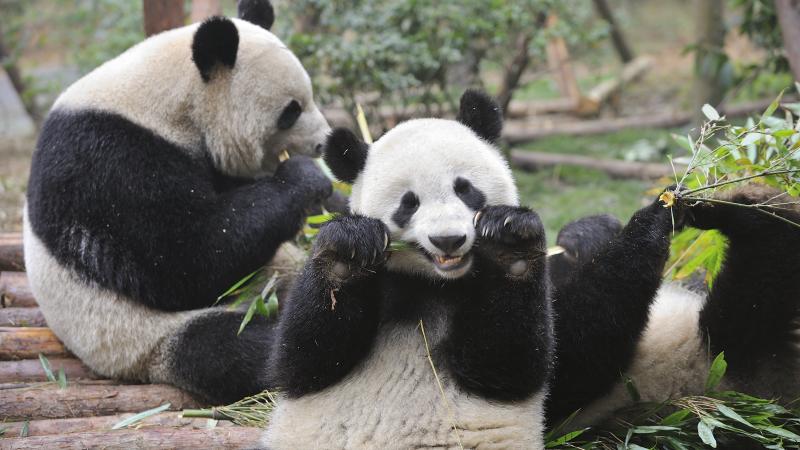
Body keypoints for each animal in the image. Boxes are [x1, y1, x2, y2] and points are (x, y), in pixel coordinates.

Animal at [23, 0, 333, 405]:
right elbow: (186, 259)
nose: (323, 141)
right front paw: (305, 179)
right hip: (142, 339)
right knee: (235, 346)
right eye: (291, 111)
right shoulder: (109, 161)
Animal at [259, 89, 714, 449]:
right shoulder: (385, 287)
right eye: (409, 203)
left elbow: (513, 363)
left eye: (465, 189)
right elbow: (303, 359)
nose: (448, 240)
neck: (434, 285)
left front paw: (510, 243)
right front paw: (349, 248)